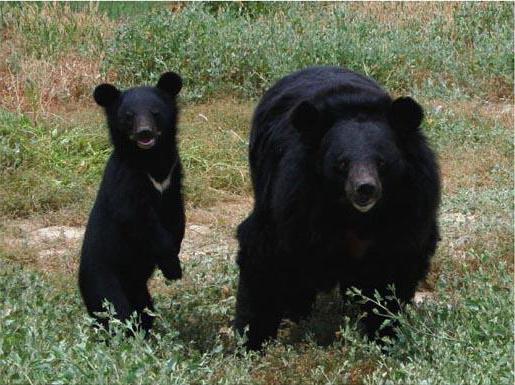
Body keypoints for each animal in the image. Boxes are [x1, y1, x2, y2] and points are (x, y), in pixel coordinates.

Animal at [78, 72, 185, 332]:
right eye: (128, 116)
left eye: (155, 112)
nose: (144, 133)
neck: (151, 162)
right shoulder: (125, 180)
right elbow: (139, 220)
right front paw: (173, 267)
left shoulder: (173, 176)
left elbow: (177, 215)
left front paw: (175, 257)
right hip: (103, 279)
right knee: (116, 313)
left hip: (138, 287)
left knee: (144, 310)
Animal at [236, 66, 442, 348]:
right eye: (342, 163)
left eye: (382, 162)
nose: (365, 189)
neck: (355, 215)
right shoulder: (293, 202)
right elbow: (264, 257)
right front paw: (251, 341)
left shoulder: (411, 206)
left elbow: (393, 268)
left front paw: (384, 334)